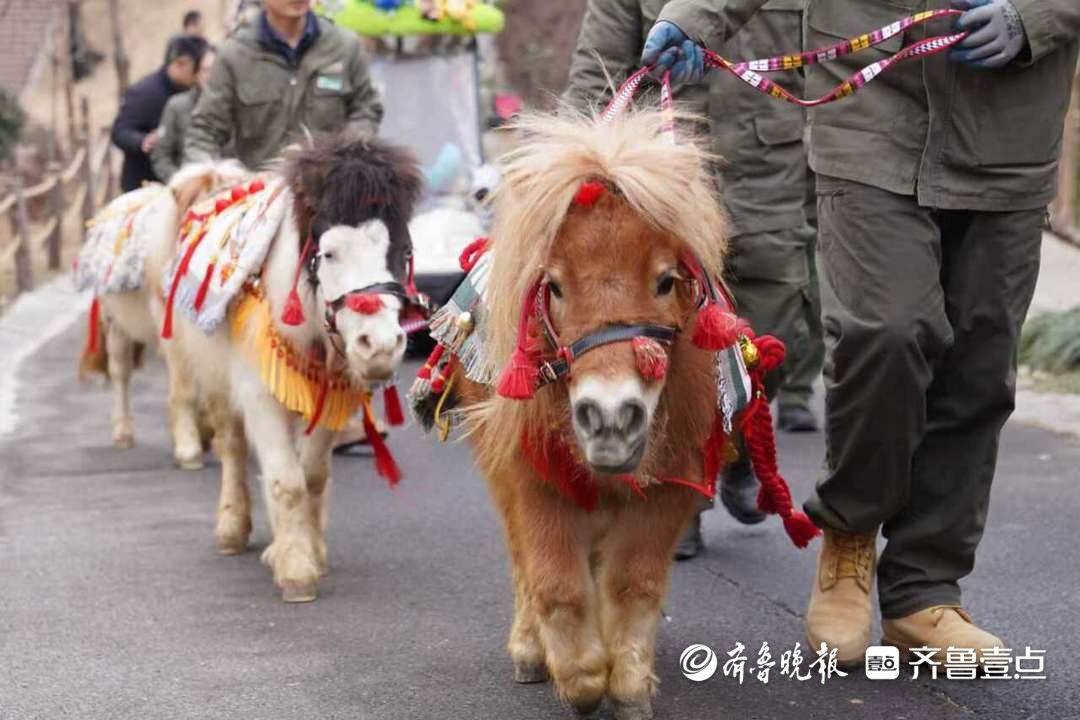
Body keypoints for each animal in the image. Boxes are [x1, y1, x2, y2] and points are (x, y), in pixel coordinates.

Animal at [77, 163, 250, 467]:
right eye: (206, 208)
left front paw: (211, 434)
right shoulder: (175, 335)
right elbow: (186, 389)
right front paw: (189, 449)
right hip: (116, 325)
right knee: (121, 373)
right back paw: (123, 432)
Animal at [163, 135, 422, 602]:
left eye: (403, 250)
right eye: (329, 253)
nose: (378, 347)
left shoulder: (329, 392)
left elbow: (313, 474)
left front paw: (309, 552)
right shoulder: (260, 394)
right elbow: (286, 480)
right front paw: (297, 573)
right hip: (215, 376)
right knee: (232, 445)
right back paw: (233, 529)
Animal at [428, 107, 817, 719]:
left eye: (664, 280)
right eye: (554, 285)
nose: (610, 417)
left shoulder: (673, 481)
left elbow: (633, 583)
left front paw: (629, 683)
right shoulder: (533, 475)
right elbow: (555, 583)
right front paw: (583, 679)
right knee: (522, 560)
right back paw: (530, 652)